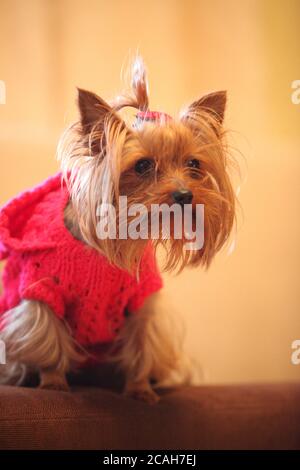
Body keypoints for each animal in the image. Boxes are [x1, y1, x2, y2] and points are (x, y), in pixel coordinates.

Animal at [0, 57, 236, 402]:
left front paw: (140, 390)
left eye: (194, 164)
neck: (119, 236)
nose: (184, 195)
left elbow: (142, 346)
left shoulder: (141, 301)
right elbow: (49, 340)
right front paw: (53, 382)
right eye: (142, 165)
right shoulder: (42, 290)